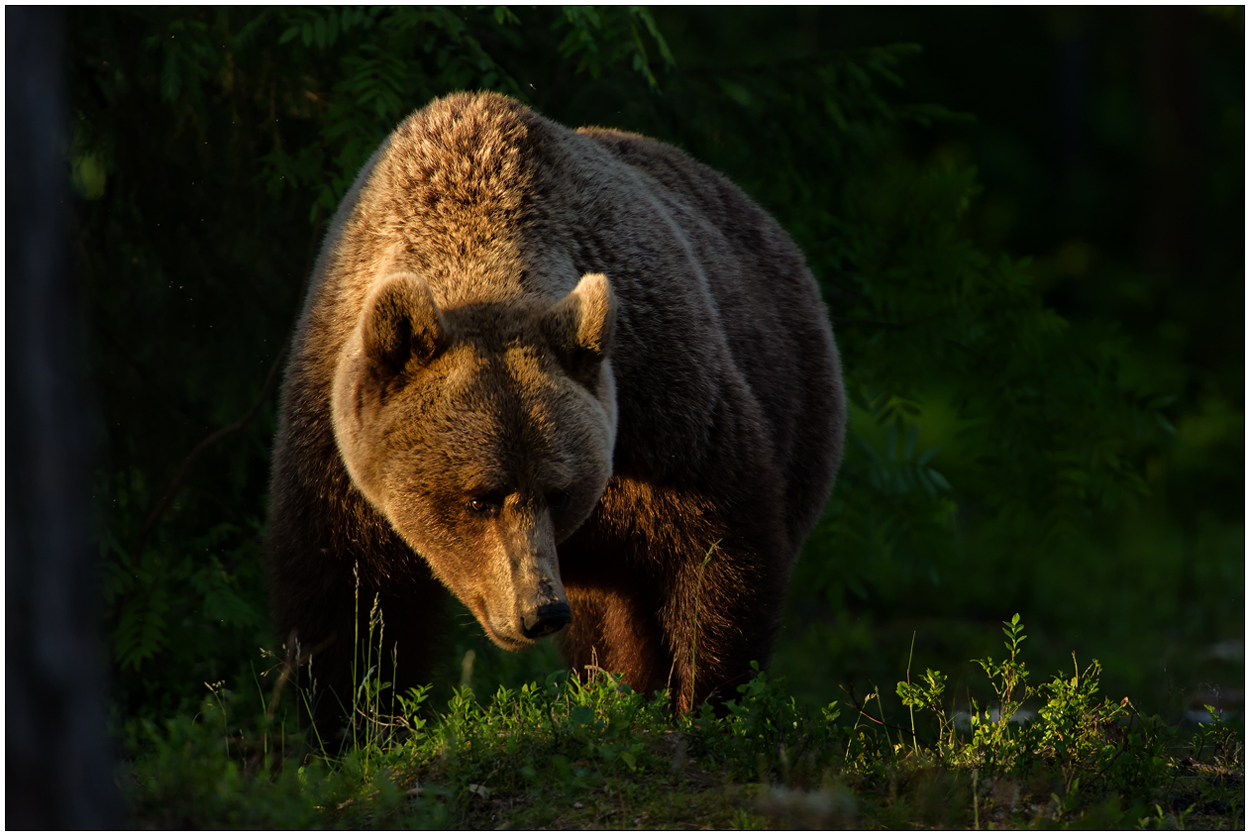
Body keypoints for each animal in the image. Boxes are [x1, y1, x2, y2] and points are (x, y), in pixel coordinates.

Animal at [267, 88, 845, 719]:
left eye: (559, 491)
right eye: (478, 499)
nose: (540, 610)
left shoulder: (661, 406)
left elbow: (713, 550)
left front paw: (702, 696)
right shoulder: (331, 441)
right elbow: (348, 596)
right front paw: (349, 713)